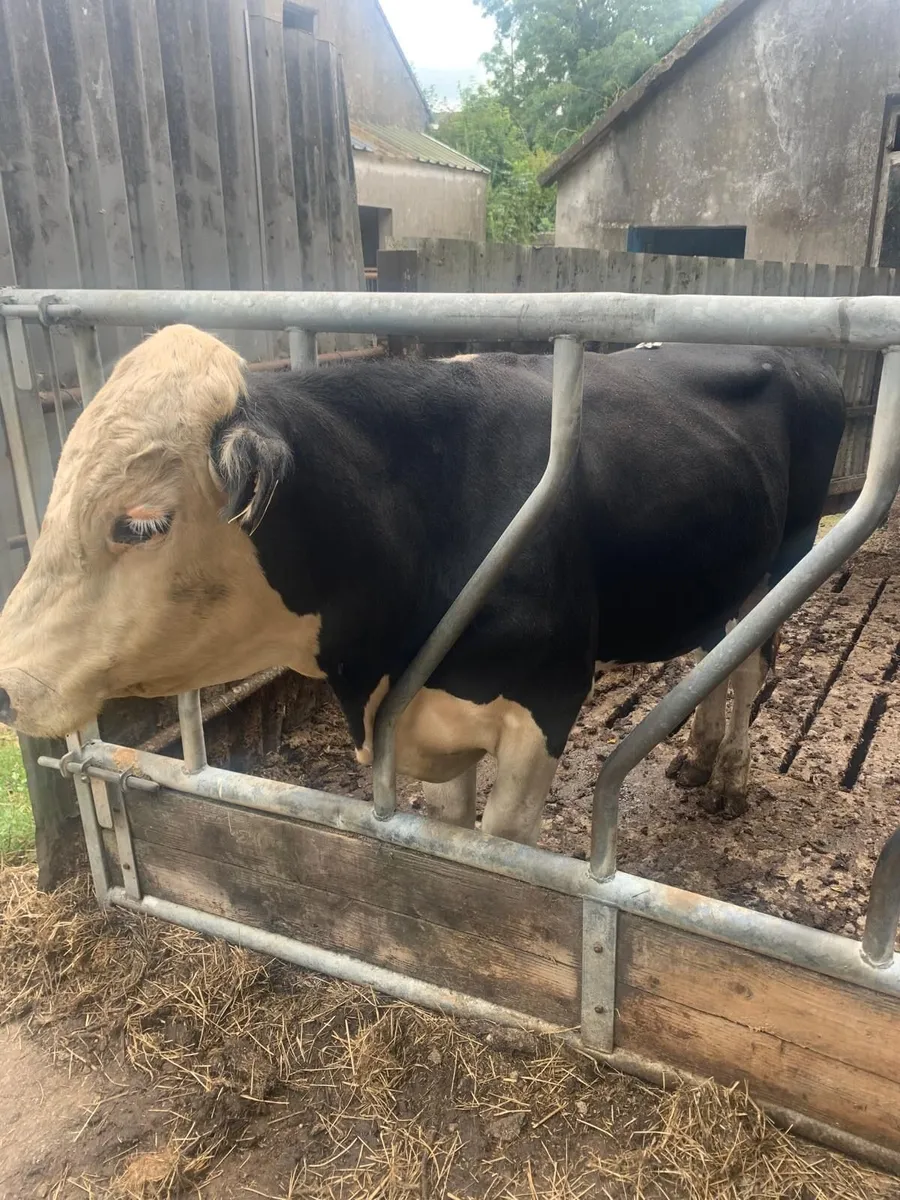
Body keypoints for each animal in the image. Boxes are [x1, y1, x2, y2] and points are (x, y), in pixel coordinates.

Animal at [0, 327, 845, 842]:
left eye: (140, 523)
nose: (7, 682)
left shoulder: (547, 701)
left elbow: (503, 849)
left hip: (787, 559)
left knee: (755, 663)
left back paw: (730, 776)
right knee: (718, 651)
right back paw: (696, 754)